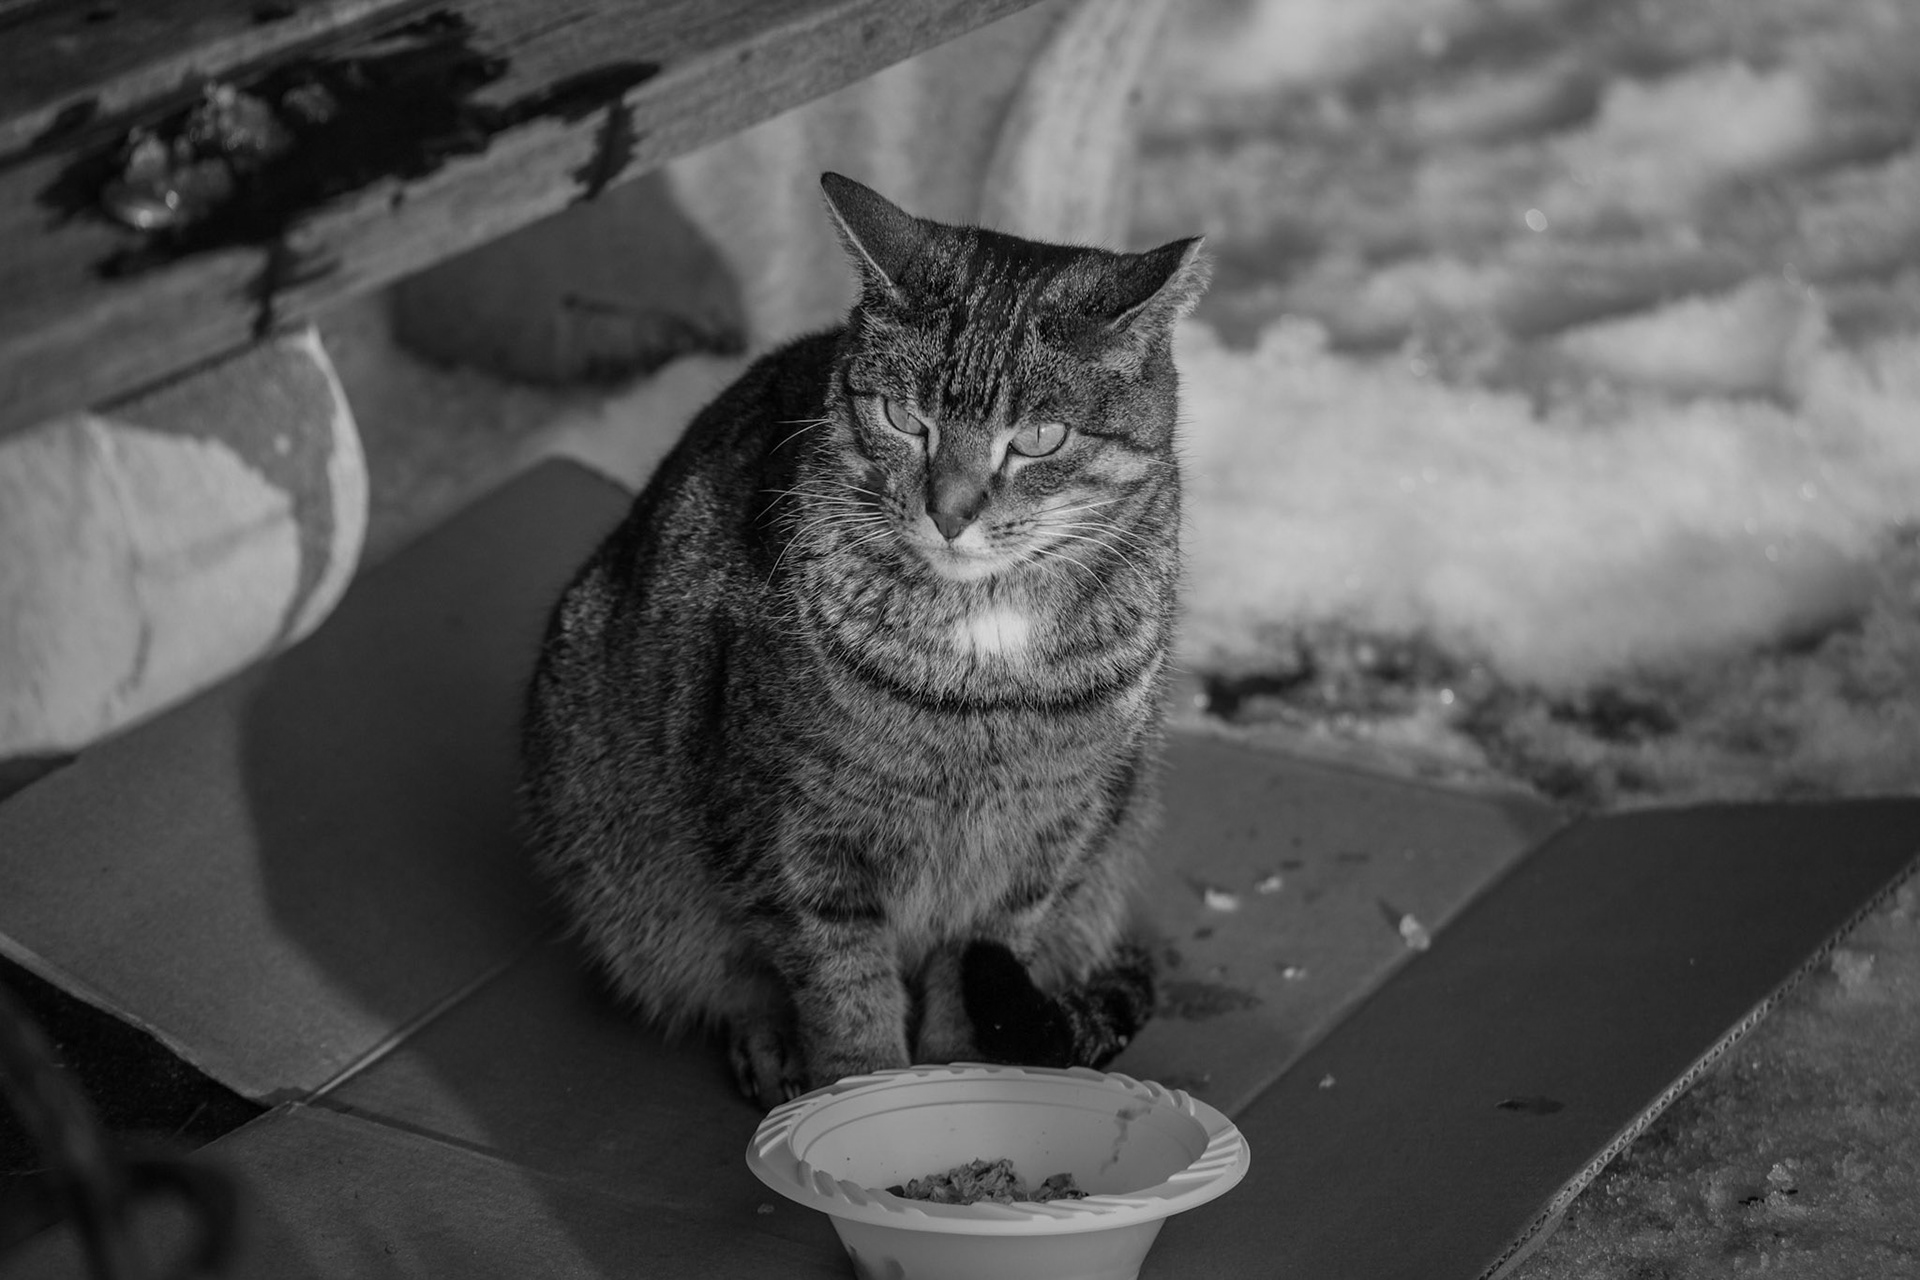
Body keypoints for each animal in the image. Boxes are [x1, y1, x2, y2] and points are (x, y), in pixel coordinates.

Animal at [519, 171, 1206, 1109]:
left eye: (1039, 438)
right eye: (902, 419)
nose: (949, 511)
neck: (982, 673)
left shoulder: (1039, 846)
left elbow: (971, 977)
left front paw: (961, 1084)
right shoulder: (797, 837)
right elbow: (843, 988)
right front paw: (861, 1093)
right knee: (725, 978)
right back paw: (770, 1048)